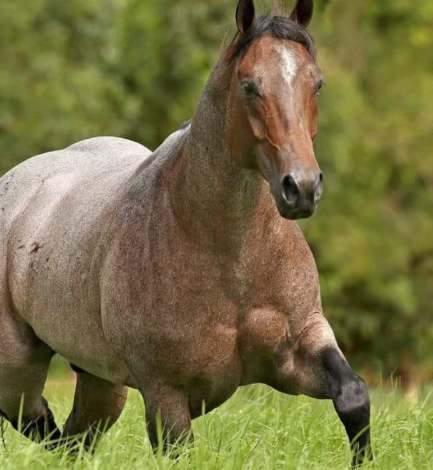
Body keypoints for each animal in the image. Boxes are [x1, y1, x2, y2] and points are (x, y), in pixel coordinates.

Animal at [0, 0, 372, 466]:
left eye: (316, 83)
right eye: (249, 86)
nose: (301, 188)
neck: (230, 257)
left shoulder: (300, 347)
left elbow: (354, 396)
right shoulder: (167, 395)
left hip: (101, 383)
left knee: (72, 438)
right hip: (17, 369)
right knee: (38, 421)